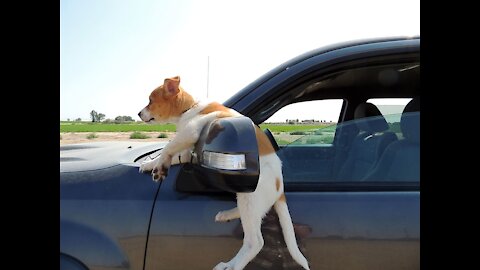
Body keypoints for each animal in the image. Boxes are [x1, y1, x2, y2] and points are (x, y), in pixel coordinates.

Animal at [138, 76, 312, 270]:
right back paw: (227, 222)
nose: (138, 114)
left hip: (251, 198)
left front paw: (159, 167)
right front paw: (150, 163)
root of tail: (280, 187)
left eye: (150, 101)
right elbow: (172, 153)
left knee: (255, 242)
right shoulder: (187, 149)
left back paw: (233, 265)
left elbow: (168, 147)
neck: (189, 108)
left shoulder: (191, 131)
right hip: (247, 199)